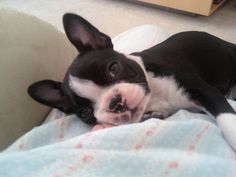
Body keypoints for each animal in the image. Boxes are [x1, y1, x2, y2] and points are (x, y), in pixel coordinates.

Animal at [28, 13, 236, 150]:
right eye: (85, 113)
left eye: (114, 68)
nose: (115, 102)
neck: (153, 96)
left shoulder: (204, 91)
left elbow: (226, 118)